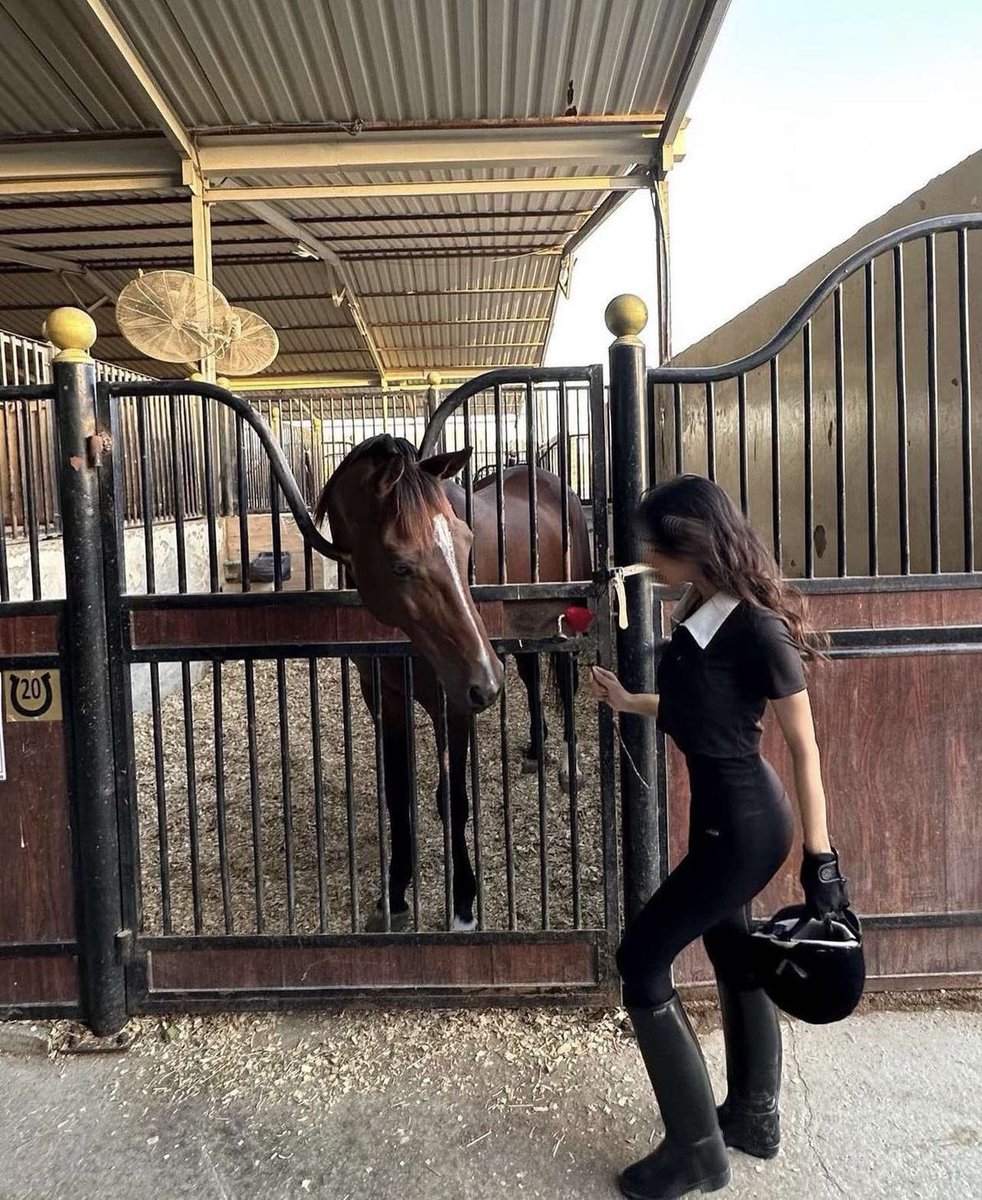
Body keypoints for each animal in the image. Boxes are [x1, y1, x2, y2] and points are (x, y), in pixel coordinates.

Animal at [314, 434, 592, 931]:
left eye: (466, 543)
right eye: (400, 565)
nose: (487, 679)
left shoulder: (456, 701)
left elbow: (454, 801)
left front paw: (463, 902)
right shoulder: (384, 699)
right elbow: (398, 797)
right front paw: (394, 895)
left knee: (564, 682)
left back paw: (567, 767)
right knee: (530, 677)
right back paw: (535, 749)